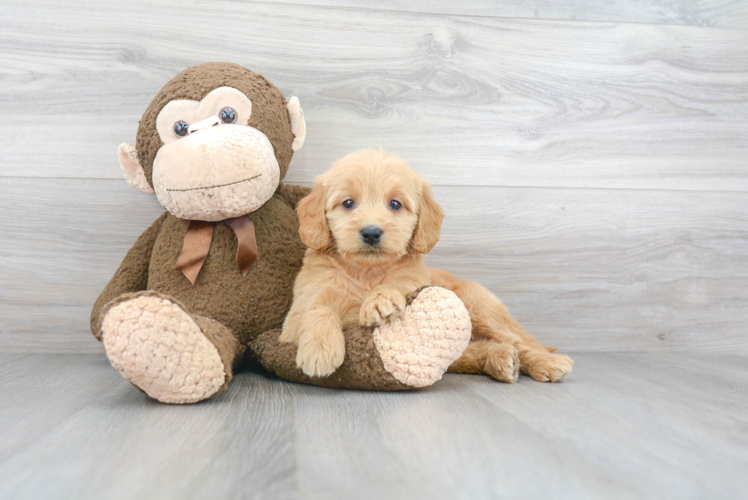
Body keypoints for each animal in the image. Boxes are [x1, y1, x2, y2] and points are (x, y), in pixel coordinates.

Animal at [280, 148, 572, 382]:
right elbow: (318, 309)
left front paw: (380, 300)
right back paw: (501, 360)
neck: (367, 273)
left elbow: (394, 286)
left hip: (481, 307)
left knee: (520, 341)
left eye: (395, 204)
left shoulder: (415, 284)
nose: (371, 233)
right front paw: (320, 351)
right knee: (470, 352)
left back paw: (547, 362)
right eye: (348, 203)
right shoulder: (293, 319)